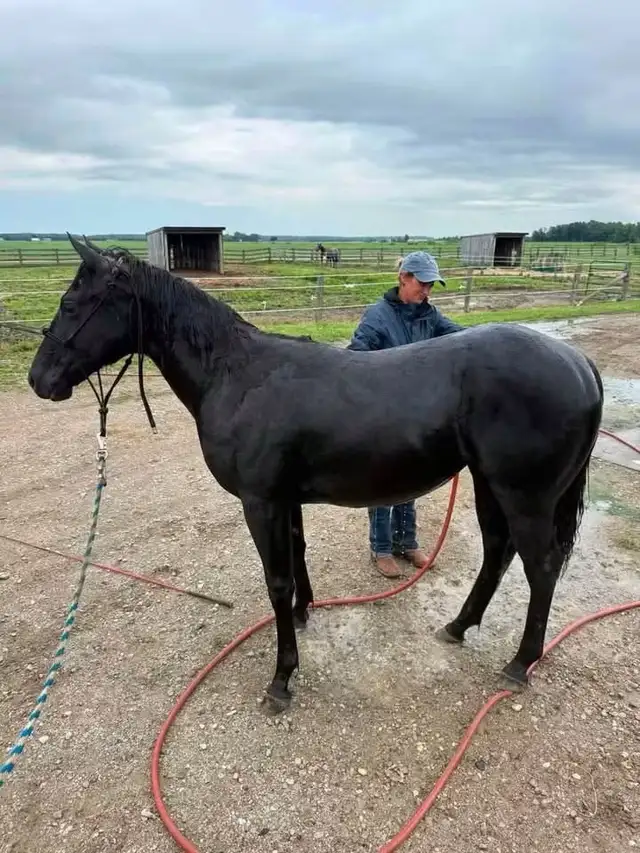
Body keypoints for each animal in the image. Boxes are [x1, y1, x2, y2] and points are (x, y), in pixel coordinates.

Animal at [28, 235, 604, 715]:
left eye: (71, 305)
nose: (39, 379)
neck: (237, 375)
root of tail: (579, 362)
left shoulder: (260, 501)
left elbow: (276, 580)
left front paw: (282, 678)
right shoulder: (285, 500)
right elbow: (298, 556)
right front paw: (305, 613)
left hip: (524, 495)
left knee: (541, 567)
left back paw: (519, 663)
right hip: (489, 484)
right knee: (497, 553)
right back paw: (459, 627)